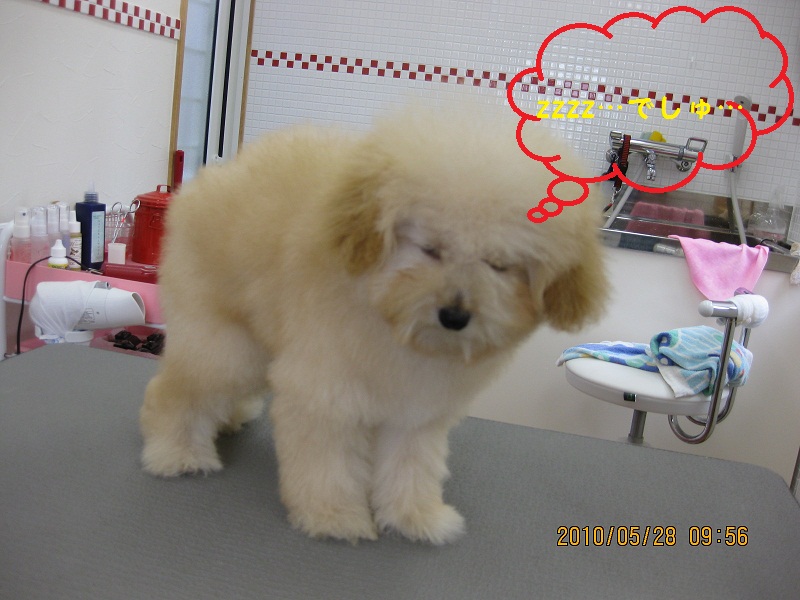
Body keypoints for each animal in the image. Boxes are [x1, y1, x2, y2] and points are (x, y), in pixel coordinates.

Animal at [140, 105, 608, 545]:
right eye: (431, 248)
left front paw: (416, 517)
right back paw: (177, 453)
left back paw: (227, 419)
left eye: (500, 265)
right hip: (227, 346)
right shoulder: (326, 393)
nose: (455, 315)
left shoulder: (415, 412)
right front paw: (333, 516)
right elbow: (327, 463)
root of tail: (206, 184)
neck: (392, 323)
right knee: (175, 390)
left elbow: (411, 467)